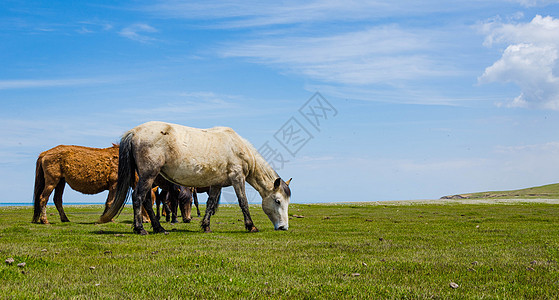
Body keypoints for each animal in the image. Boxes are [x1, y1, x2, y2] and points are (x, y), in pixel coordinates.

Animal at [99, 121, 294, 234]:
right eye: (277, 201)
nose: (283, 227)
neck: (237, 146)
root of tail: (134, 132)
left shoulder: (216, 184)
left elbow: (210, 204)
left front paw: (206, 226)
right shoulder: (237, 178)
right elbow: (243, 202)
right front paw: (251, 226)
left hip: (149, 177)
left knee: (147, 200)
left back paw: (159, 228)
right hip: (148, 174)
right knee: (138, 197)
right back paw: (141, 229)